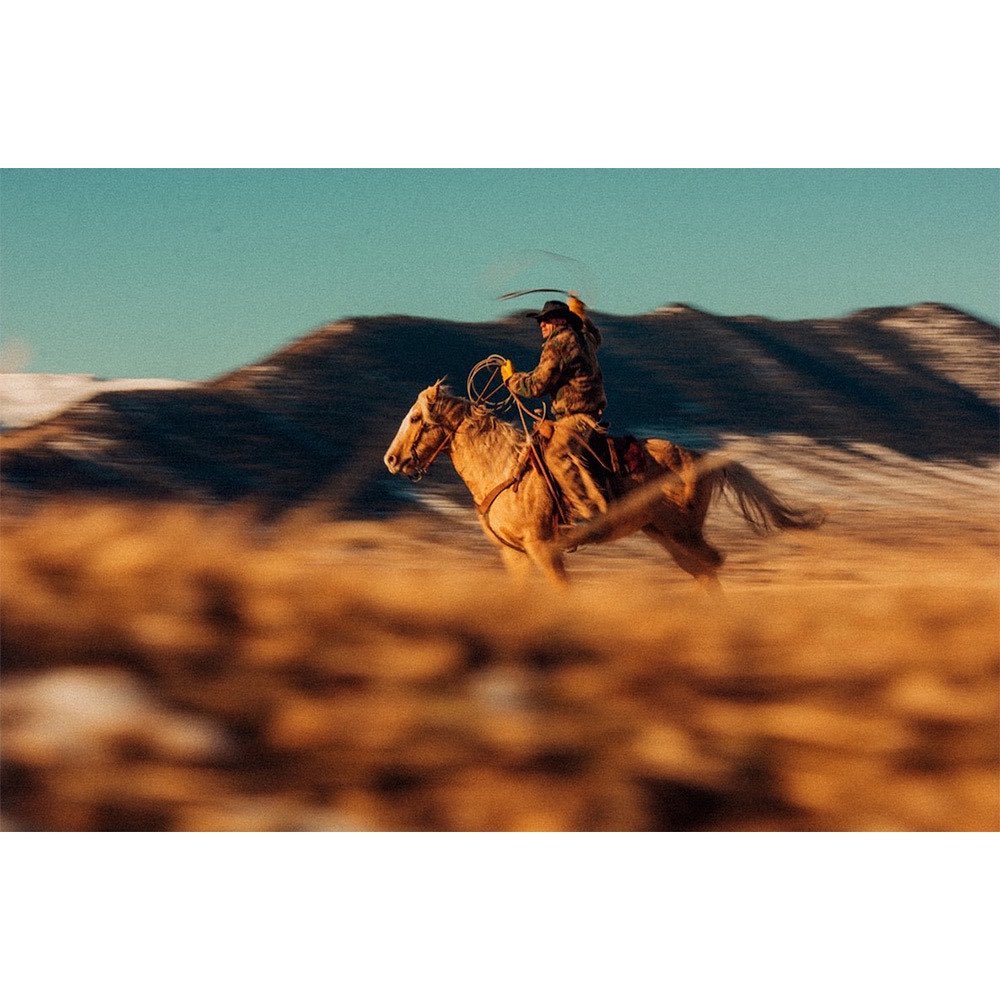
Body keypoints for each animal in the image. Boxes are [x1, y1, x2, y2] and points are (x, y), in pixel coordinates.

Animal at [383, 381, 824, 587]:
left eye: (417, 418)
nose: (391, 460)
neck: (503, 468)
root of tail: (701, 458)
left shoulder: (544, 549)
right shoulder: (515, 556)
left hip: (684, 534)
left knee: (712, 567)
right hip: (667, 536)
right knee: (705, 573)